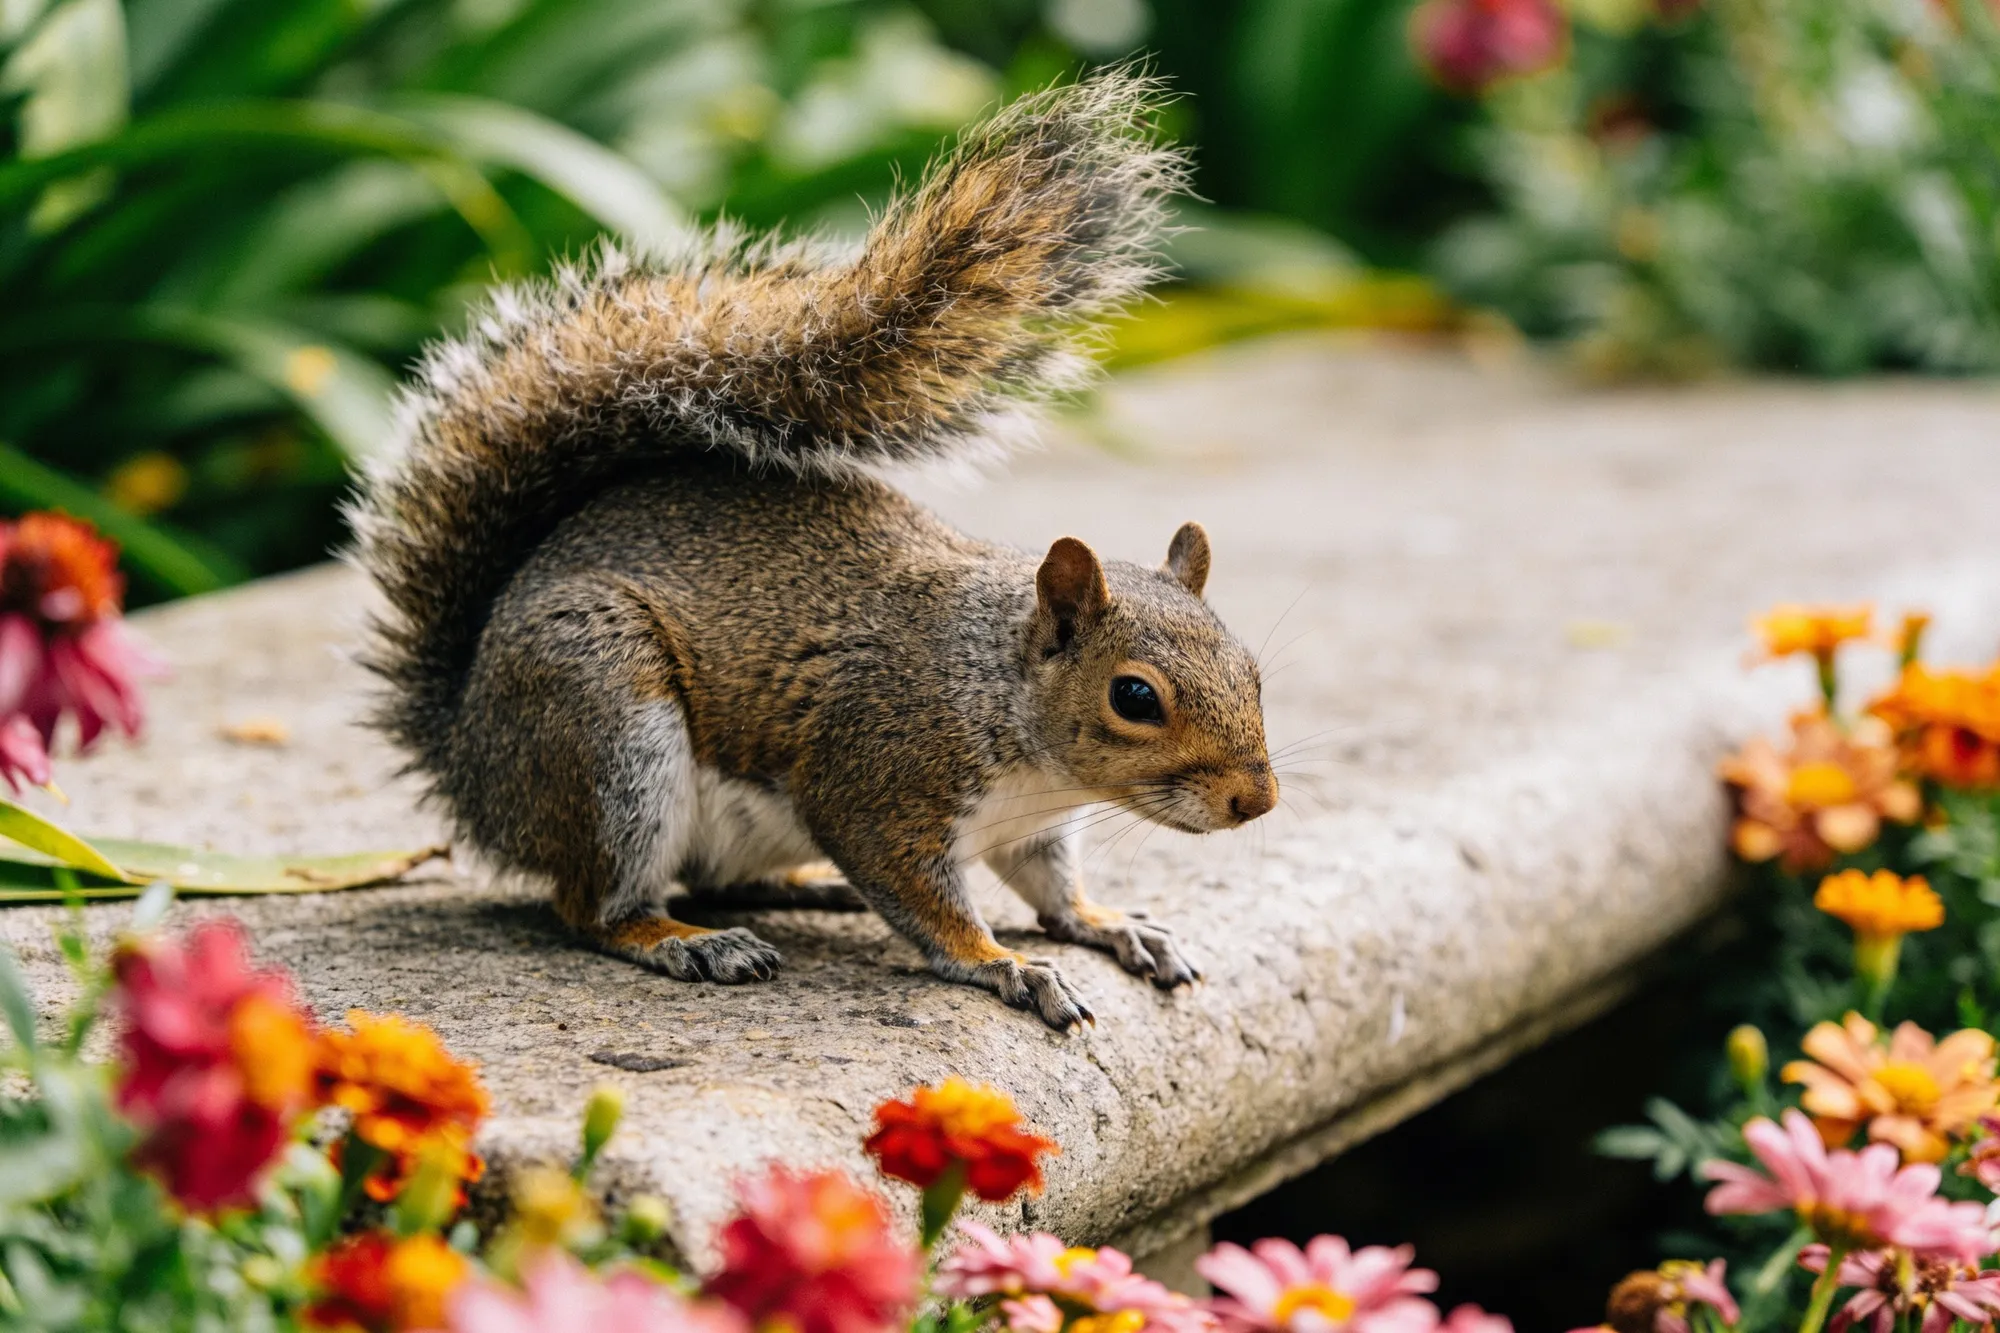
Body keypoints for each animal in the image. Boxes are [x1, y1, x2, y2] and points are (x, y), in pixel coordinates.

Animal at [351, 72, 1278, 1030]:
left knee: (713, 879)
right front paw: (1007, 963)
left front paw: (1111, 923)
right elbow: (929, 903)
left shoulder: (1032, 828)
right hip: (605, 722)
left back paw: (803, 887)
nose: (1255, 801)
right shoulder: (875, 783)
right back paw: (686, 941)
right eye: (1134, 697)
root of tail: (468, 755)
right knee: (596, 905)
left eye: (1252, 672)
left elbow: (1055, 890)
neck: (1003, 700)